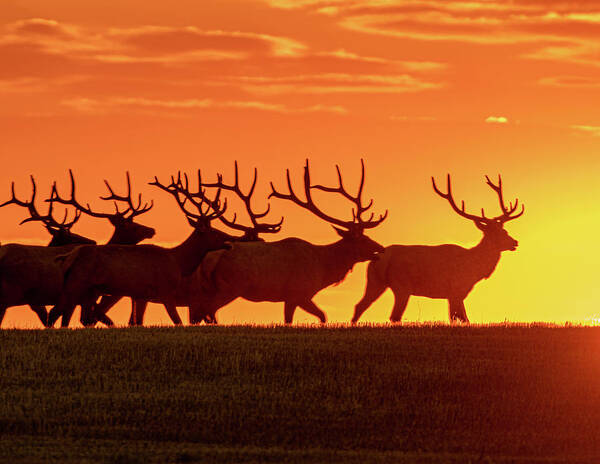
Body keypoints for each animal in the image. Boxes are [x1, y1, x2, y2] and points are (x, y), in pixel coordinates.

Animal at [185, 158, 386, 324]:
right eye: (360, 238)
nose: (381, 248)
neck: (323, 269)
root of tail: (208, 261)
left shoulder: (290, 298)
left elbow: (290, 320)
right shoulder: (299, 292)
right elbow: (323, 316)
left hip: (209, 289)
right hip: (230, 287)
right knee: (208, 312)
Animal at [352, 174, 524, 322]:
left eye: (504, 230)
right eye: (498, 233)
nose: (514, 242)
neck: (474, 270)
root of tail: (382, 258)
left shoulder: (455, 294)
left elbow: (460, 318)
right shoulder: (456, 289)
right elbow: (460, 318)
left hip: (374, 281)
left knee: (359, 306)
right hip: (402, 284)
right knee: (394, 315)